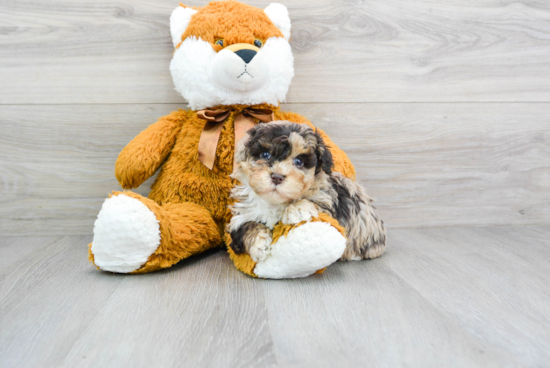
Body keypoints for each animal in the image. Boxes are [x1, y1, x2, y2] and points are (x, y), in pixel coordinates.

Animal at [226, 122, 386, 264]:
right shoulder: (241, 215)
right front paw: (259, 244)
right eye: (265, 155)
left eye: (298, 161)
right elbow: (246, 226)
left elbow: (313, 201)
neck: (275, 202)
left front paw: (296, 209)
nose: (277, 177)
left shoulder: (328, 203)